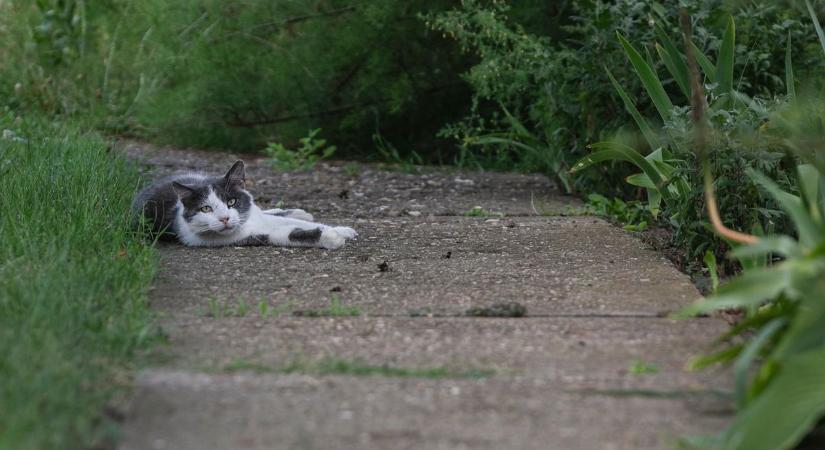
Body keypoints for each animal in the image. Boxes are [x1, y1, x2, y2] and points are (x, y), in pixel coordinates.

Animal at [130, 159, 356, 250]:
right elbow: (292, 233)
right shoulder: (254, 236)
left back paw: (299, 212)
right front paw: (331, 238)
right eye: (205, 209)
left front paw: (343, 229)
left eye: (232, 201)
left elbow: (306, 224)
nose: (225, 218)